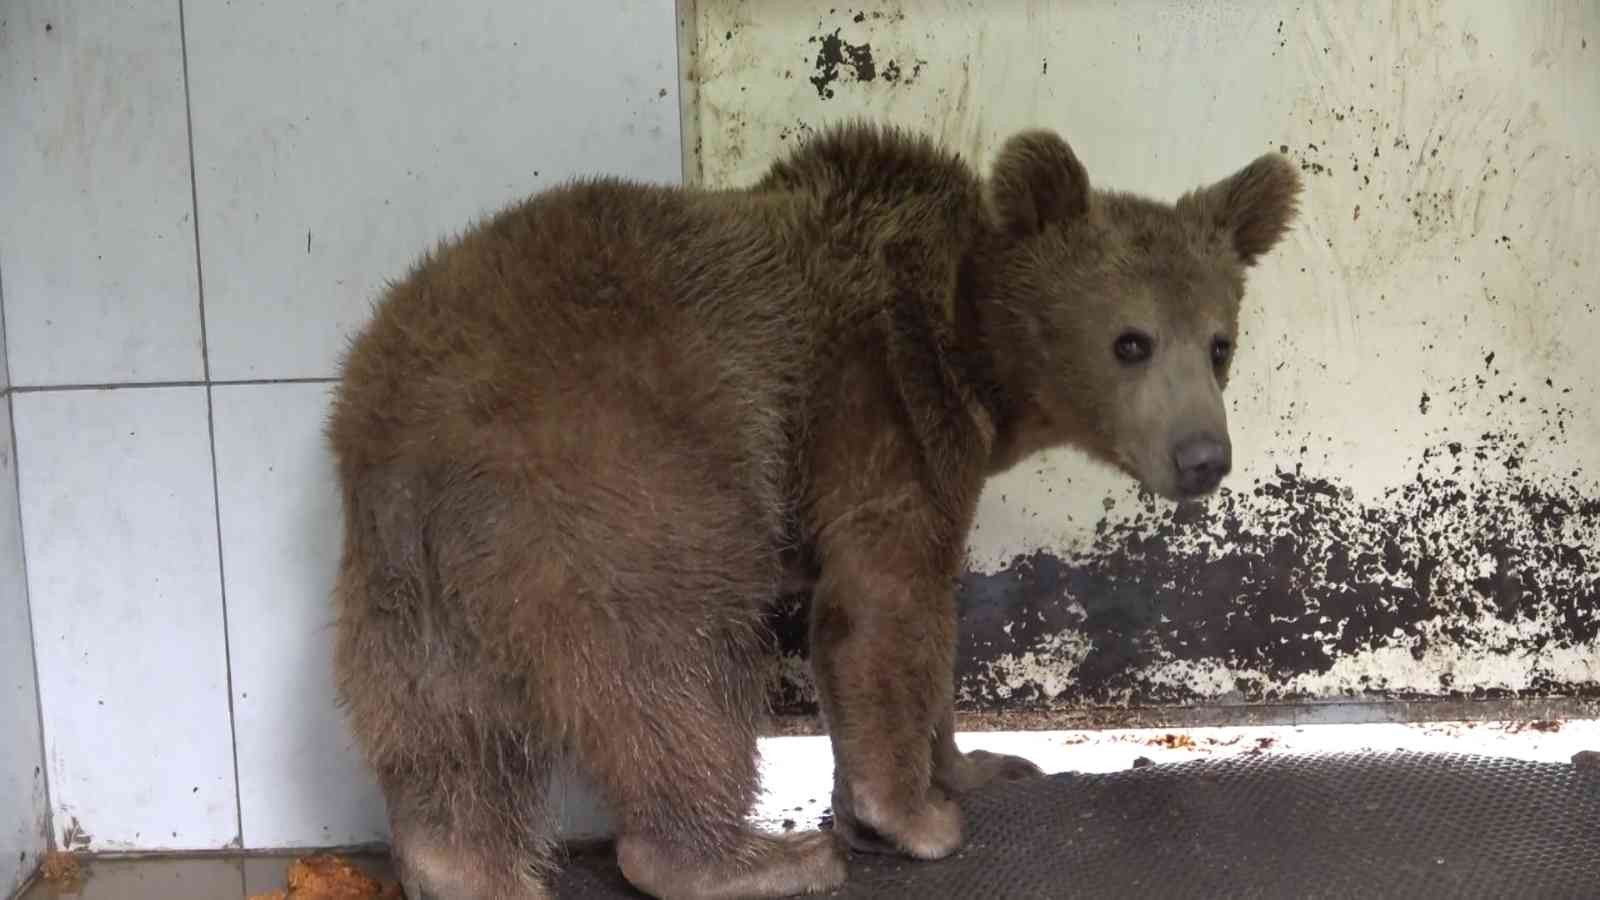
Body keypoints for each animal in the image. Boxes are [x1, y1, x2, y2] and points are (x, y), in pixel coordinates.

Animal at [324, 120, 1299, 896]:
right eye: (1132, 341)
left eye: (1220, 344)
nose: (1203, 458)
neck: (973, 356)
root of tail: (396, 405)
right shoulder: (881, 410)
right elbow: (885, 602)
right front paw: (912, 815)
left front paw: (979, 763)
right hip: (621, 480)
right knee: (672, 663)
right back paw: (752, 858)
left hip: (408, 563)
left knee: (439, 722)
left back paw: (456, 864)